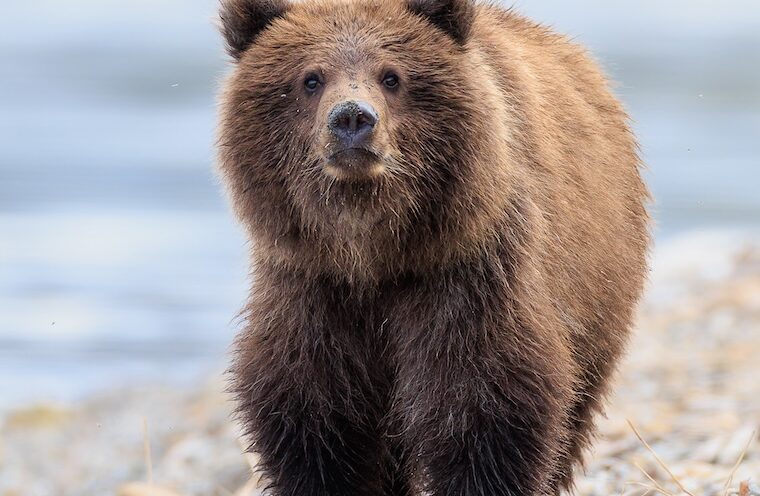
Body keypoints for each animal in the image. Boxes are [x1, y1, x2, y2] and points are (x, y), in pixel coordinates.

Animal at [216, 0, 650, 494]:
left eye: (392, 76)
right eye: (310, 78)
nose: (352, 118)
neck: (373, 252)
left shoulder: (467, 266)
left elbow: (485, 394)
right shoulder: (312, 282)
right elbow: (314, 406)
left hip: (597, 289)